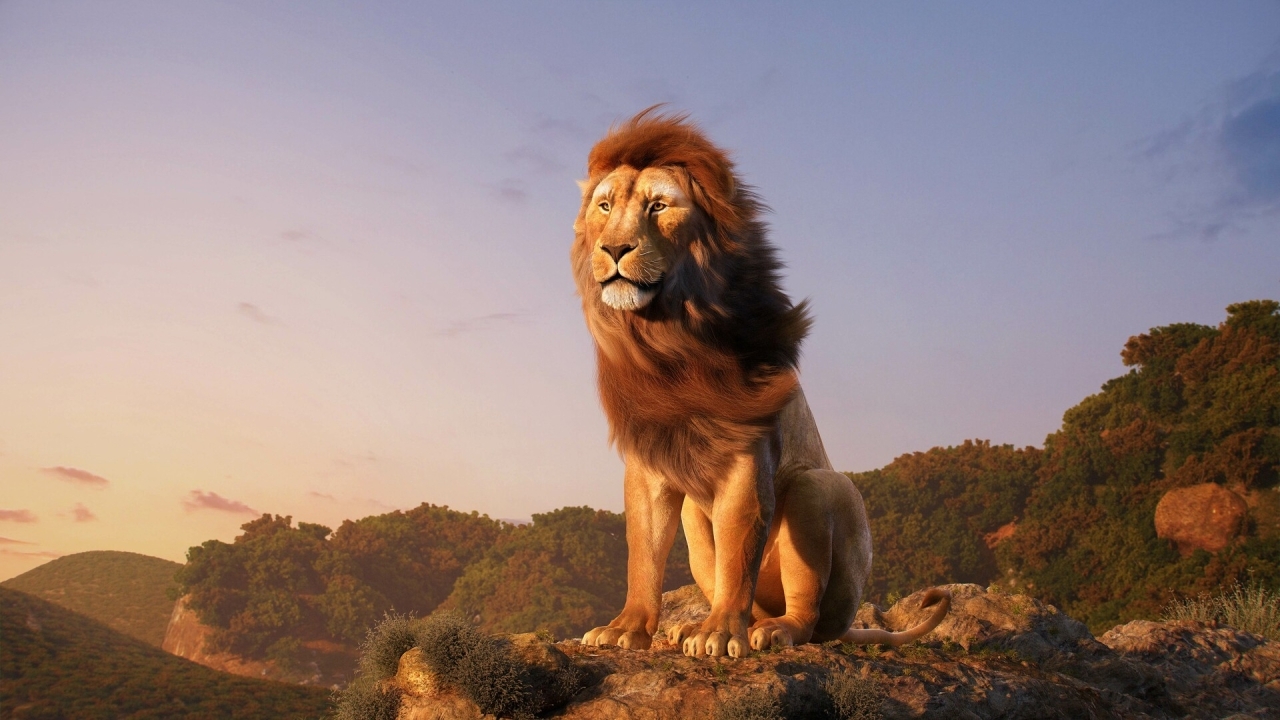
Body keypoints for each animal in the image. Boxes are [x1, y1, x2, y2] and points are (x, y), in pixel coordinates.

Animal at [572, 108, 951, 658]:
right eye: (605, 206)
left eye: (659, 206)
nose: (614, 248)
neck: (671, 342)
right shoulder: (648, 462)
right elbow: (643, 553)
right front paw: (627, 628)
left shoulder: (748, 453)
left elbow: (738, 550)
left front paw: (717, 634)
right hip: (696, 517)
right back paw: (704, 625)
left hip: (819, 493)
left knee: (808, 617)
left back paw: (769, 631)